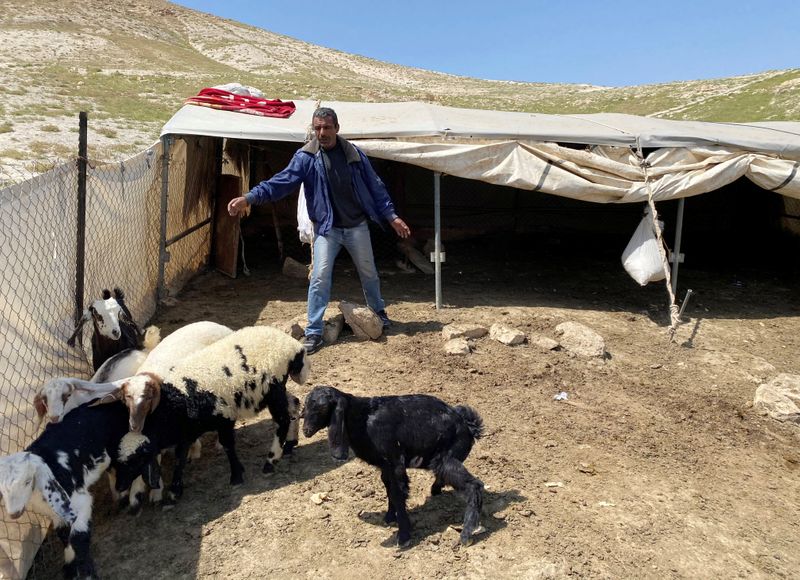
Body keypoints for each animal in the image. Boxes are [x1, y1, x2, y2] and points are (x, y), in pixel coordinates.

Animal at [302, 388, 484, 548]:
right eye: (306, 406)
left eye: (322, 407)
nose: (305, 430)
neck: (363, 418)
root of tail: (468, 425)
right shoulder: (386, 466)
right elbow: (388, 488)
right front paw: (390, 517)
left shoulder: (395, 463)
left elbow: (398, 493)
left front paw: (403, 537)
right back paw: (436, 491)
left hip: (447, 458)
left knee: (474, 485)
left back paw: (466, 535)